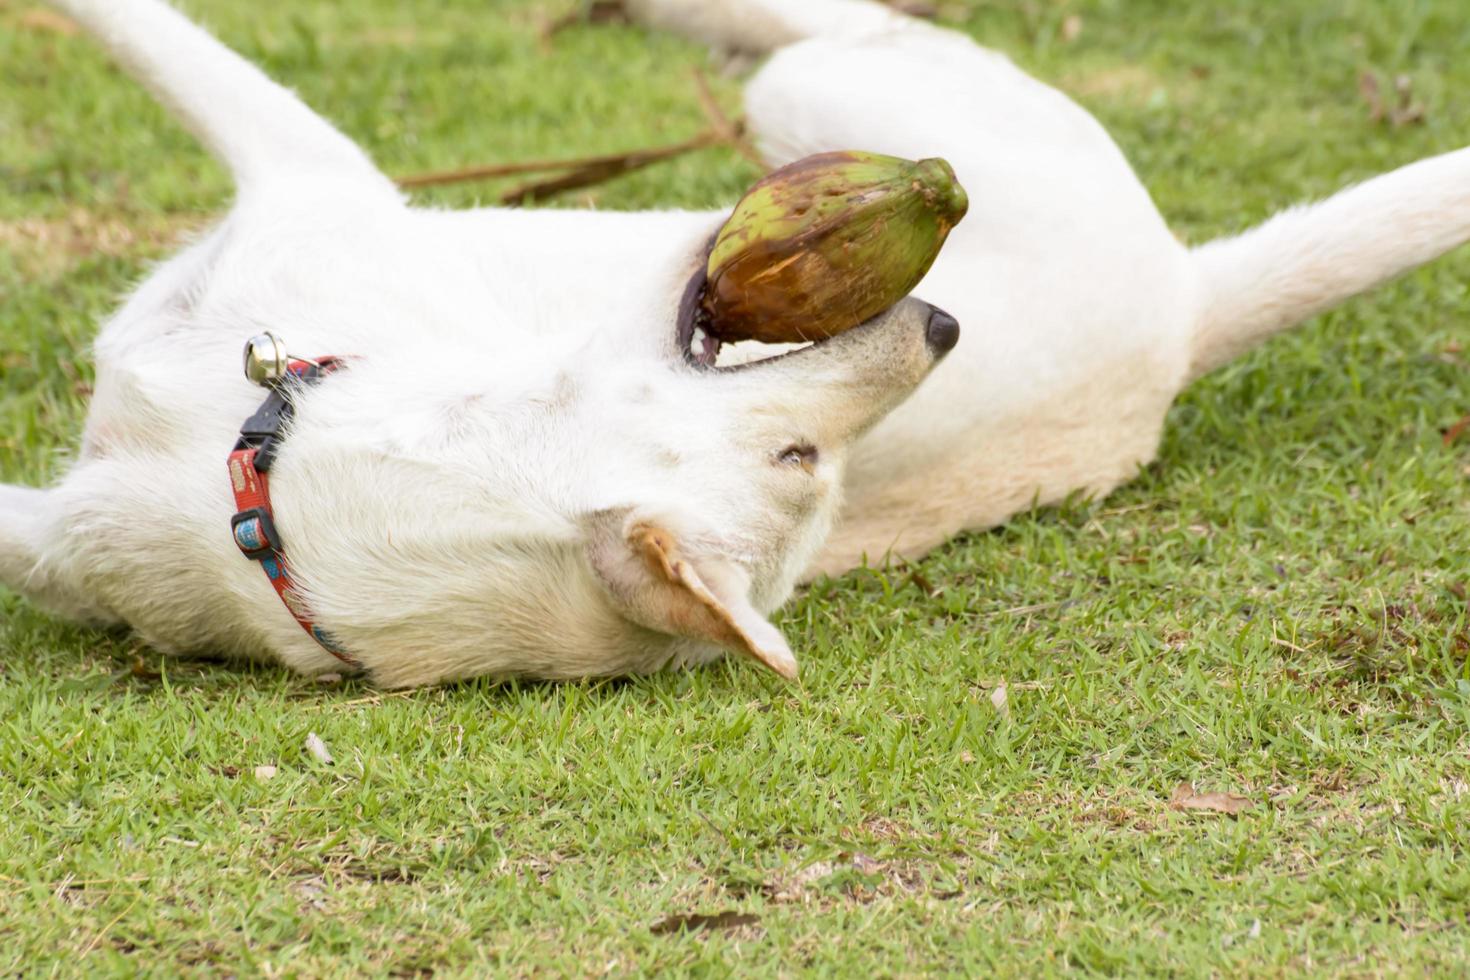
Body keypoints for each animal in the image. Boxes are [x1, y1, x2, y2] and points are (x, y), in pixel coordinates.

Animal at [2, 0, 1470, 690]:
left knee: (834, 24)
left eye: (804, 466)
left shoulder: (309, 167)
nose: (942, 320)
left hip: (822, 86)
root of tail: (1186, 305)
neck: (266, 466)